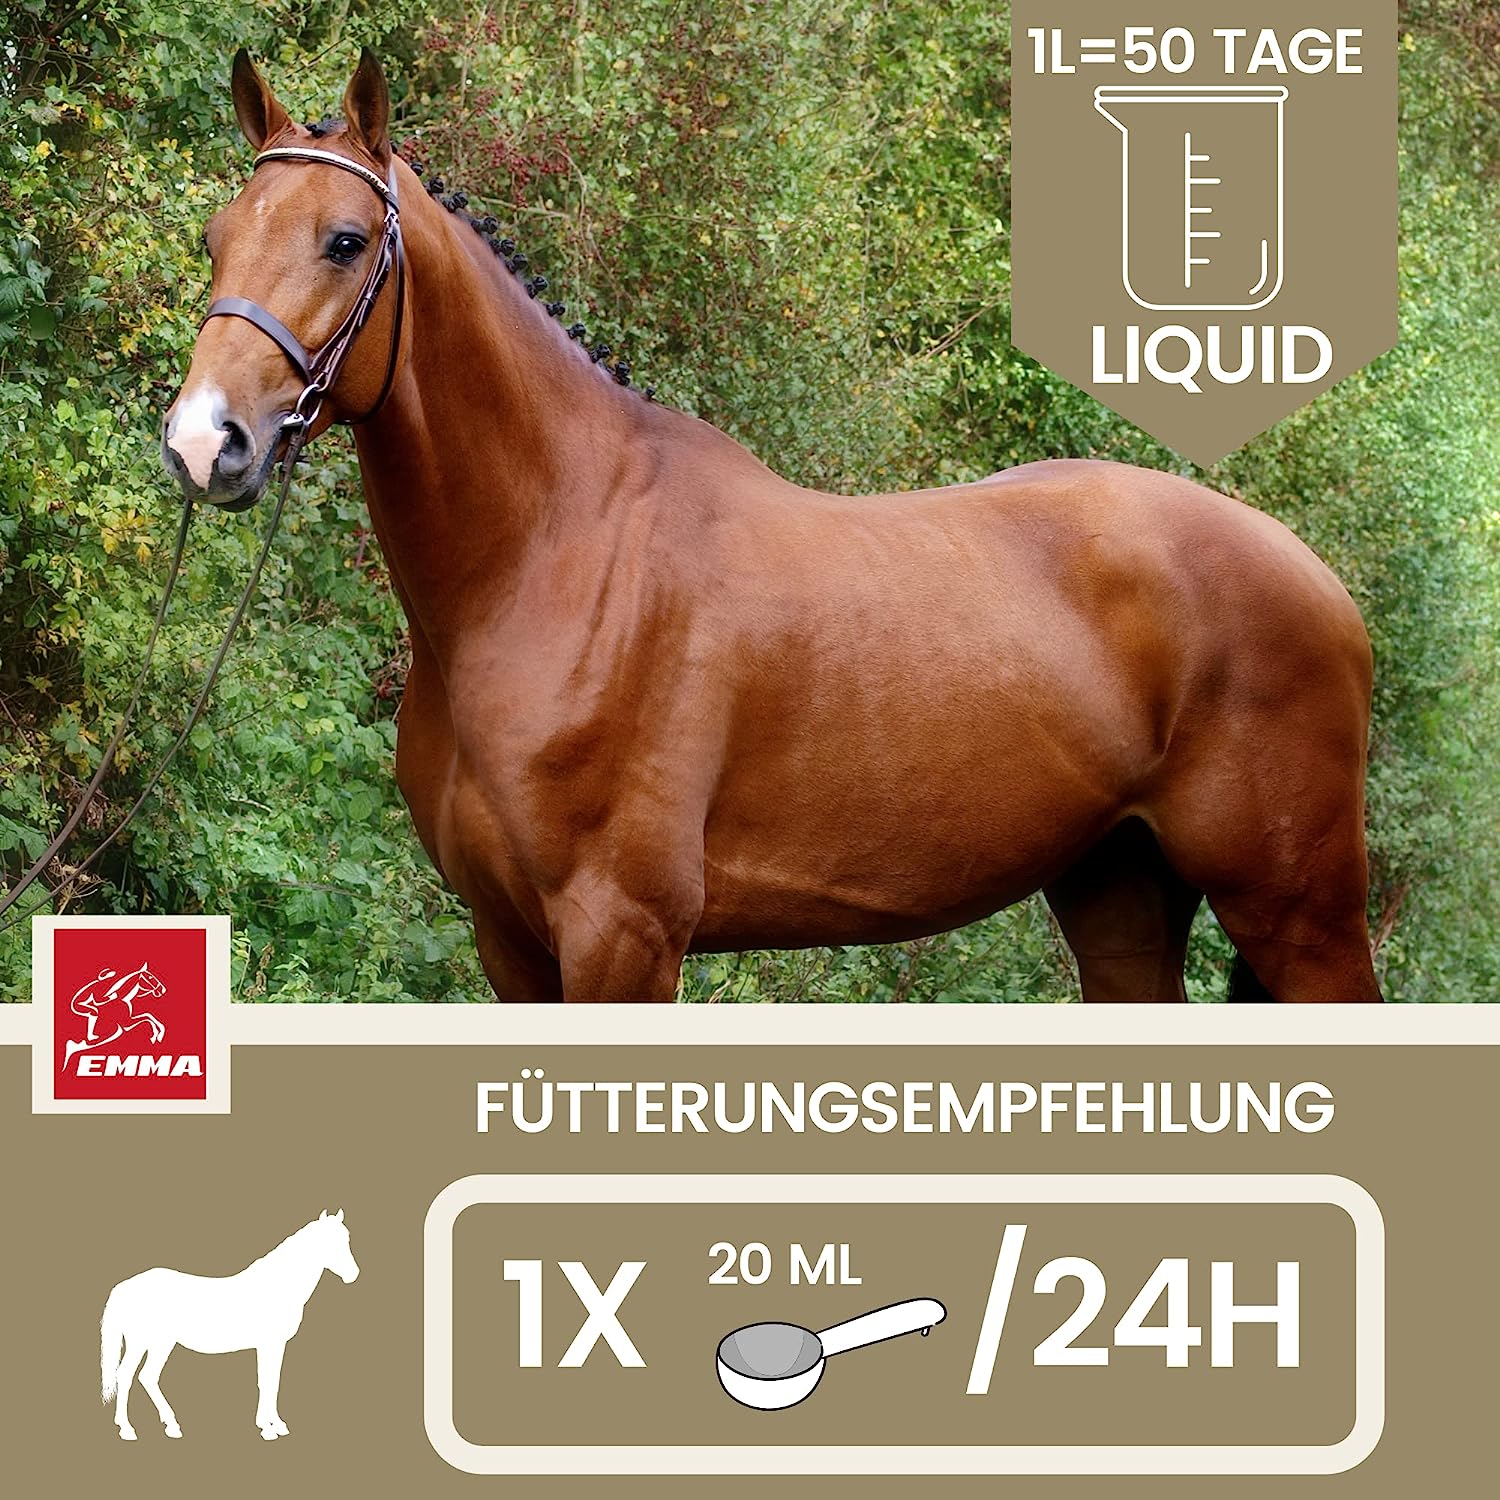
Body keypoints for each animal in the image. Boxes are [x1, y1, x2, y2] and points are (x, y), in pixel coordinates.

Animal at [100, 1208, 359, 1442]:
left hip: (161, 1343)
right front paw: (267, 1429)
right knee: (126, 1375)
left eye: (346, 1239)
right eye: (329, 1243)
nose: (353, 1275)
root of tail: (125, 1287)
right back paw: (127, 1430)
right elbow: (265, 1382)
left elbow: (273, 1382)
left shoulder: (277, 1345)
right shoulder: (268, 1344)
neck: (276, 1287)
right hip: (141, 1342)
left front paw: (277, 1425)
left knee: (148, 1377)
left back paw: (171, 1426)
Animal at [160, 49, 1382, 1004]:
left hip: (1302, 917)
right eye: (217, 236)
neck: (552, 557)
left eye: (344, 240)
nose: (202, 443)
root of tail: (1319, 580)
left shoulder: (622, 937)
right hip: (1121, 898)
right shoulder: (510, 944)